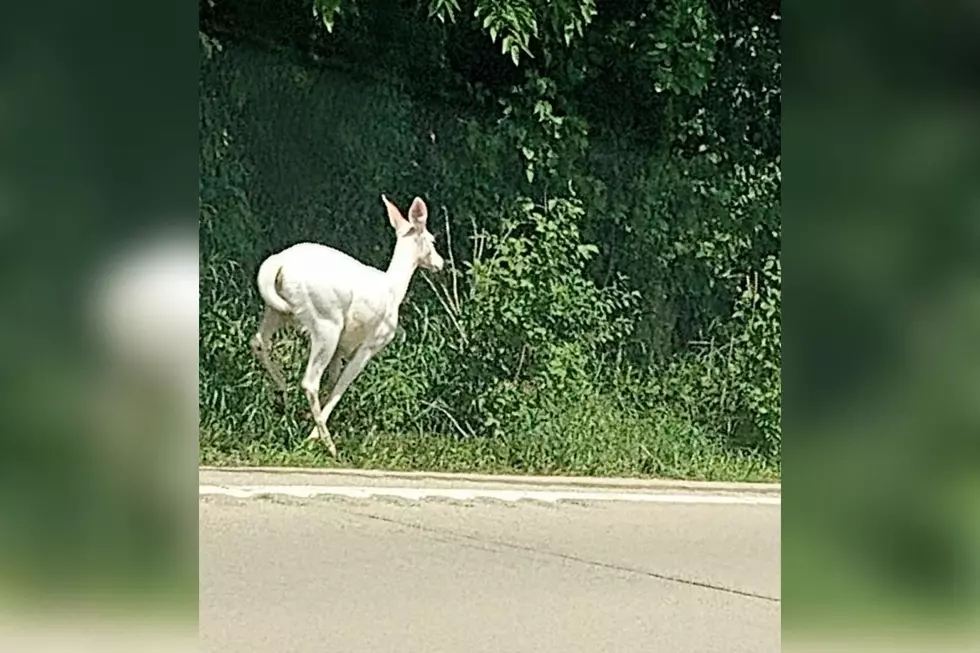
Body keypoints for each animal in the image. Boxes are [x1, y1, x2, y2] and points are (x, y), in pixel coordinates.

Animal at [249, 196, 444, 456]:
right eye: (432, 240)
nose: (440, 263)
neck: (394, 289)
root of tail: (278, 264)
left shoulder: (342, 346)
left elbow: (333, 380)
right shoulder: (372, 343)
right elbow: (342, 384)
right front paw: (315, 435)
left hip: (277, 310)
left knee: (258, 341)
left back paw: (284, 396)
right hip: (326, 321)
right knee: (309, 380)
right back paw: (328, 445)